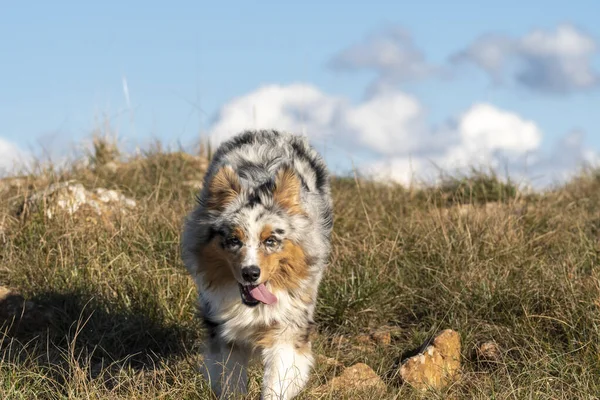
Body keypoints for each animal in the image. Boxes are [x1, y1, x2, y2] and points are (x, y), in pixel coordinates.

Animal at [180, 130, 336, 398]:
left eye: (270, 240)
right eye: (234, 240)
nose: (250, 273)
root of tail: (268, 132)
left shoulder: (288, 327)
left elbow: (277, 380)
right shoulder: (225, 333)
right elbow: (231, 380)